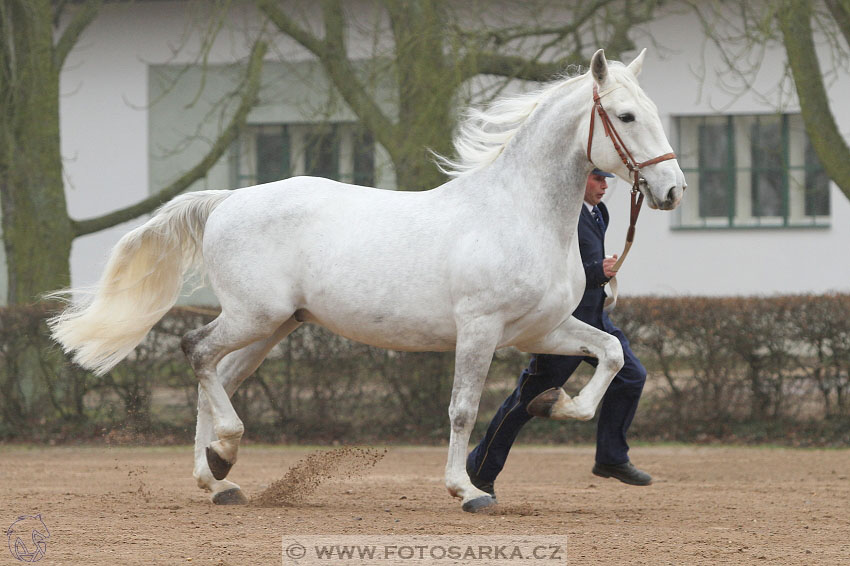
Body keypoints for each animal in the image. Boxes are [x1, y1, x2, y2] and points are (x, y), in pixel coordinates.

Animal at [49, 50, 684, 516]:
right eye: (625, 116)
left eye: (653, 110)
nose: (673, 190)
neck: (519, 213)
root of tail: (228, 200)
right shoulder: (480, 330)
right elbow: (462, 409)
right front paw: (468, 491)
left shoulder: (541, 329)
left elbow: (608, 352)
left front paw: (555, 404)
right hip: (254, 316)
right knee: (196, 350)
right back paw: (224, 453)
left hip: (273, 327)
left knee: (217, 373)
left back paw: (220, 477)